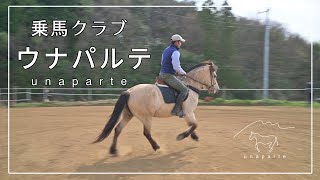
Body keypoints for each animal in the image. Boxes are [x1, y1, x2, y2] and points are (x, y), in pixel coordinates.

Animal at [91, 60, 219, 155]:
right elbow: (194, 125)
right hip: (146, 117)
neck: (190, 86)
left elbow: (192, 125)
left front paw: (195, 137)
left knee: (118, 129)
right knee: (146, 133)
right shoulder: (188, 112)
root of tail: (129, 91)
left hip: (128, 115)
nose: (216, 89)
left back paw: (114, 150)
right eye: (214, 75)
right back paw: (156, 146)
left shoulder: (188, 113)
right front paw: (181, 136)